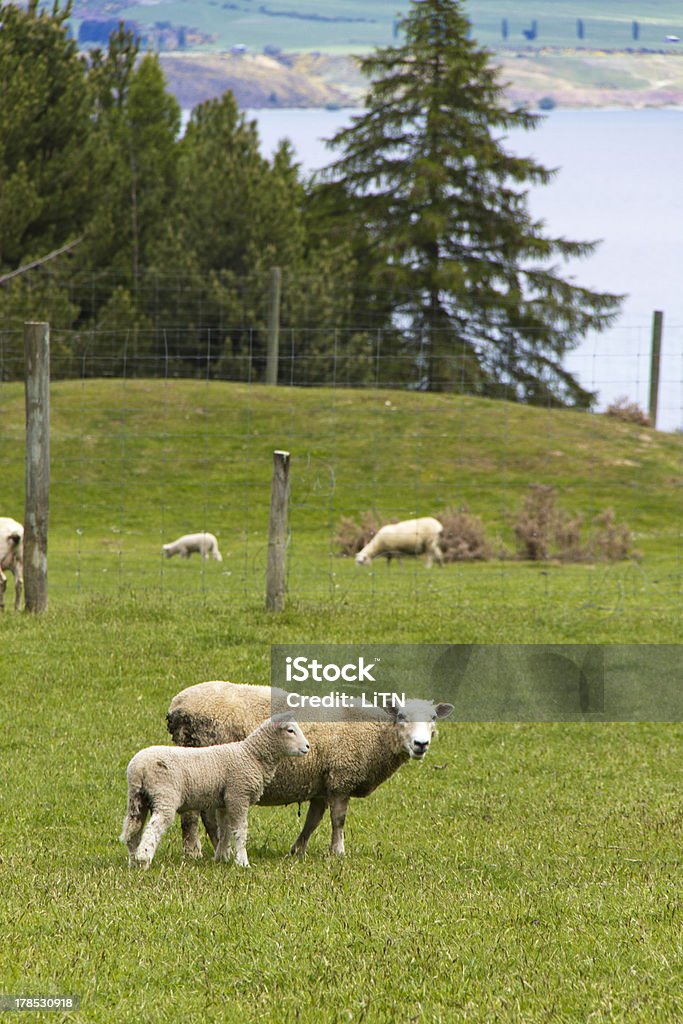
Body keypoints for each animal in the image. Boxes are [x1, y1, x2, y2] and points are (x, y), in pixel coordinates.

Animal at [120, 712, 309, 872]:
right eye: (290, 730)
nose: (307, 747)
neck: (252, 756)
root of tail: (138, 768)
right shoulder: (238, 795)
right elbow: (240, 831)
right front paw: (243, 862)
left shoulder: (224, 802)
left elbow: (224, 830)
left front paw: (221, 858)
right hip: (164, 794)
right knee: (153, 829)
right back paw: (144, 860)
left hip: (137, 798)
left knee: (133, 831)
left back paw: (133, 862)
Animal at [165, 684, 454, 860]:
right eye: (402, 717)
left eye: (433, 719)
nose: (421, 744)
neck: (376, 734)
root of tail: (177, 707)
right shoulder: (341, 778)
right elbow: (339, 820)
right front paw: (338, 852)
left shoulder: (321, 783)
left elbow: (312, 821)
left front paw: (298, 850)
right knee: (194, 815)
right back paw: (196, 851)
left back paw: (215, 846)